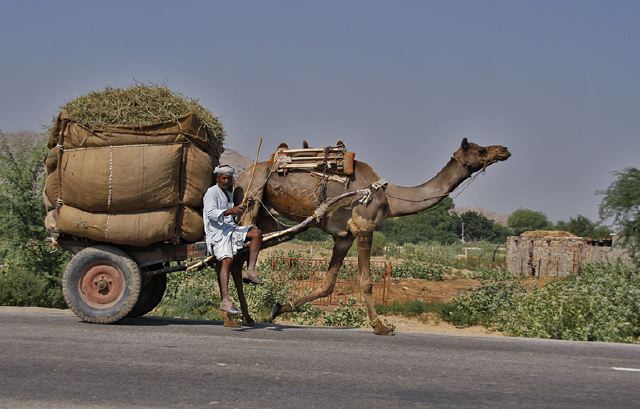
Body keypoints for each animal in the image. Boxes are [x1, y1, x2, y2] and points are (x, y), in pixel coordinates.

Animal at [230, 139, 510, 334]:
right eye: (481, 150)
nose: (504, 150)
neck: (390, 199)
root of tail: (240, 175)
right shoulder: (364, 226)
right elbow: (366, 282)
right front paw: (381, 326)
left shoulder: (344, 236)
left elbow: (328, 283)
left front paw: (278, 308)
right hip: (252, 197)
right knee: (234, 255)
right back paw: (237, 315)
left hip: (266, 217)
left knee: (238, 256)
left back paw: (246, 316)